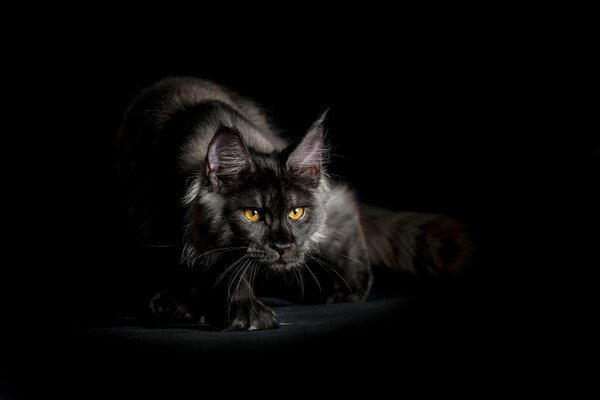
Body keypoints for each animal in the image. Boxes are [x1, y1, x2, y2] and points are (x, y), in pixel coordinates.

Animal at [117, 76, 474, 330]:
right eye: (253, 214)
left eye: (296, 212)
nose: (282, 245)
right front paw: (186, 305)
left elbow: (230, 270)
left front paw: (240, 311)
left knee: (343, 204)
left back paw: (350, 287)